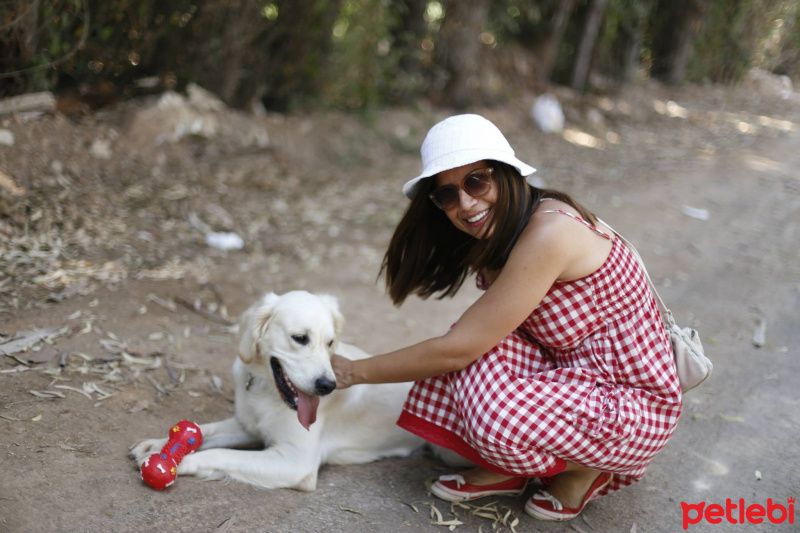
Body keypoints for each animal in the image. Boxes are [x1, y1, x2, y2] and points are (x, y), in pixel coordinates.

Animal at [130, 290, 438, 490]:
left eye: (330, 342)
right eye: (300, 338)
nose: (327, 386)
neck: (265, 391)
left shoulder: (295, 462)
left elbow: (220, 454)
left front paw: (173, 463)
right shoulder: (250, 427)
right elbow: (208, 431)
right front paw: (158, 445)